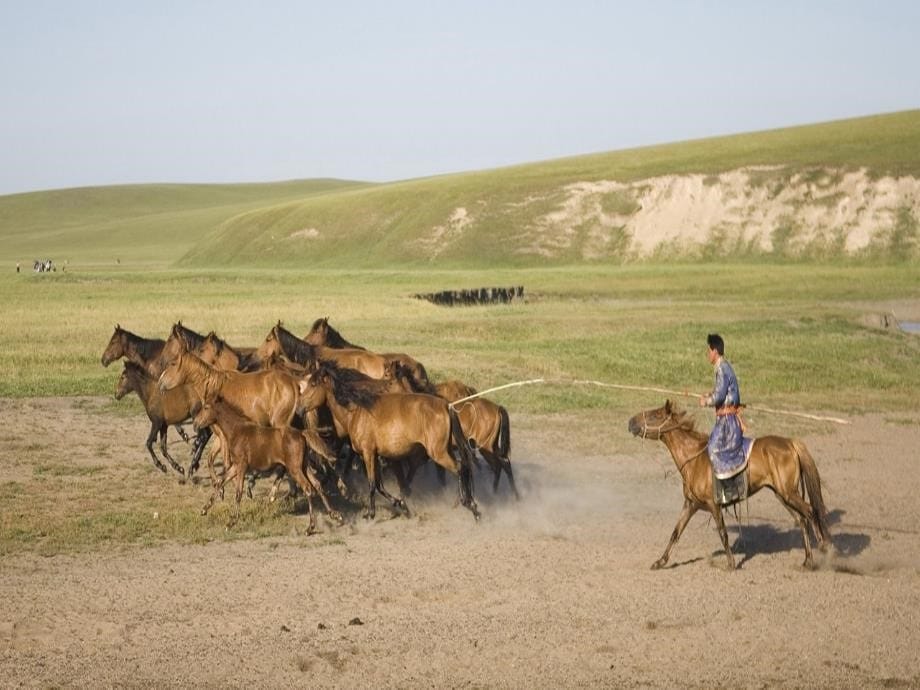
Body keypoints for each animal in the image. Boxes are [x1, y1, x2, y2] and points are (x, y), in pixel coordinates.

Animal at [194, 398, 342, 532]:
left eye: (206, 407)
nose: (195, 424)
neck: (237, 430)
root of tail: (302, 433)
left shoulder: (242, 465)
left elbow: (238, 492)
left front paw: (231, 522)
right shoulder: (236, 466)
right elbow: (220, 482)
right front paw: (204, 510)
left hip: (294, 468)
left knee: (308, 488)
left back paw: (310, 527)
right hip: (303, 467)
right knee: (317, 484)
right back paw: (335, 515)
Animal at [298, 362, 482, 520]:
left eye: (313, 384)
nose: (299, 409)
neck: (357, 412)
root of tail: (447, 406)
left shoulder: (368, 454)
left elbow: (372, 484)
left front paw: (370, 513)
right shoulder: (375, 456)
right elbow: (380, 485)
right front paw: (401, 504)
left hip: (438, 452)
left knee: (459, 468)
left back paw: (469, 505)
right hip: (445, 449)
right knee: (463, 467)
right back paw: (470, 504)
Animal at [624, 400, 832, 568]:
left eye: (654, 415)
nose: (631, 422)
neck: (694, 460)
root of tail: (790, 443)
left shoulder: (713, 505)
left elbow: (723, 533)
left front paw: (731, 563)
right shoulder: (690, 505)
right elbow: (676, 532)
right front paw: (660, 562)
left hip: (788, 493)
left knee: (810, 511)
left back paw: (824, 547)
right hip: (782, 495)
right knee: (802, 520)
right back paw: (808, 560)